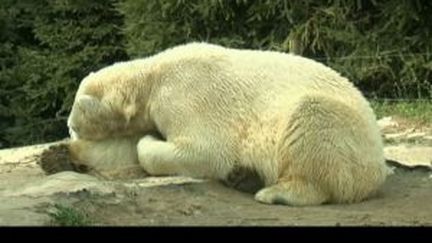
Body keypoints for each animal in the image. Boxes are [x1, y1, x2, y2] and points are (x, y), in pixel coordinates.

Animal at [66, 42, 390, 206]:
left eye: (73, 123)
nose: (70, 125)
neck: (152, 77)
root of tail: (379, 167)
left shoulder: (187, 94)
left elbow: (207, 151)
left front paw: (149, 139)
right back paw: (245, 177)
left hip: (345, 134)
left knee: (311, 119)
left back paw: (274, 192)